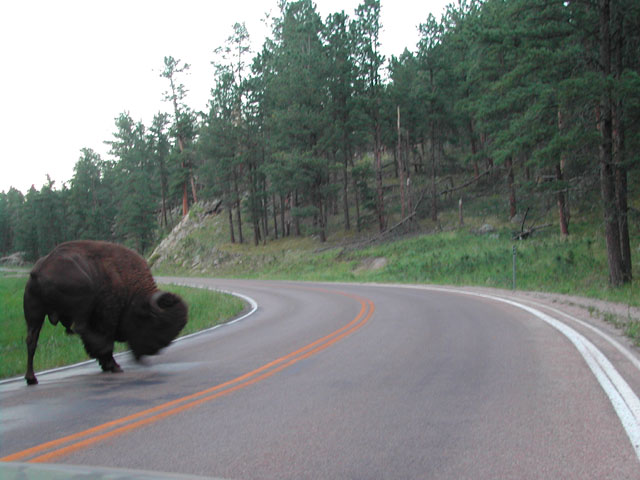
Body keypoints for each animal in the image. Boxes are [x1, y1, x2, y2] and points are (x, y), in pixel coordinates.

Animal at [23, 240, 188, 386]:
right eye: (157, 325)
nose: (152, 351)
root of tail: (40, 271)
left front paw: (106, 364)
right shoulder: (108, 316)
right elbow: (107, 337)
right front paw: (111, 364)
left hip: (35, 315)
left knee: (32, 341)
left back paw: (31, 379)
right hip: (84, 300)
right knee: (80, 328)